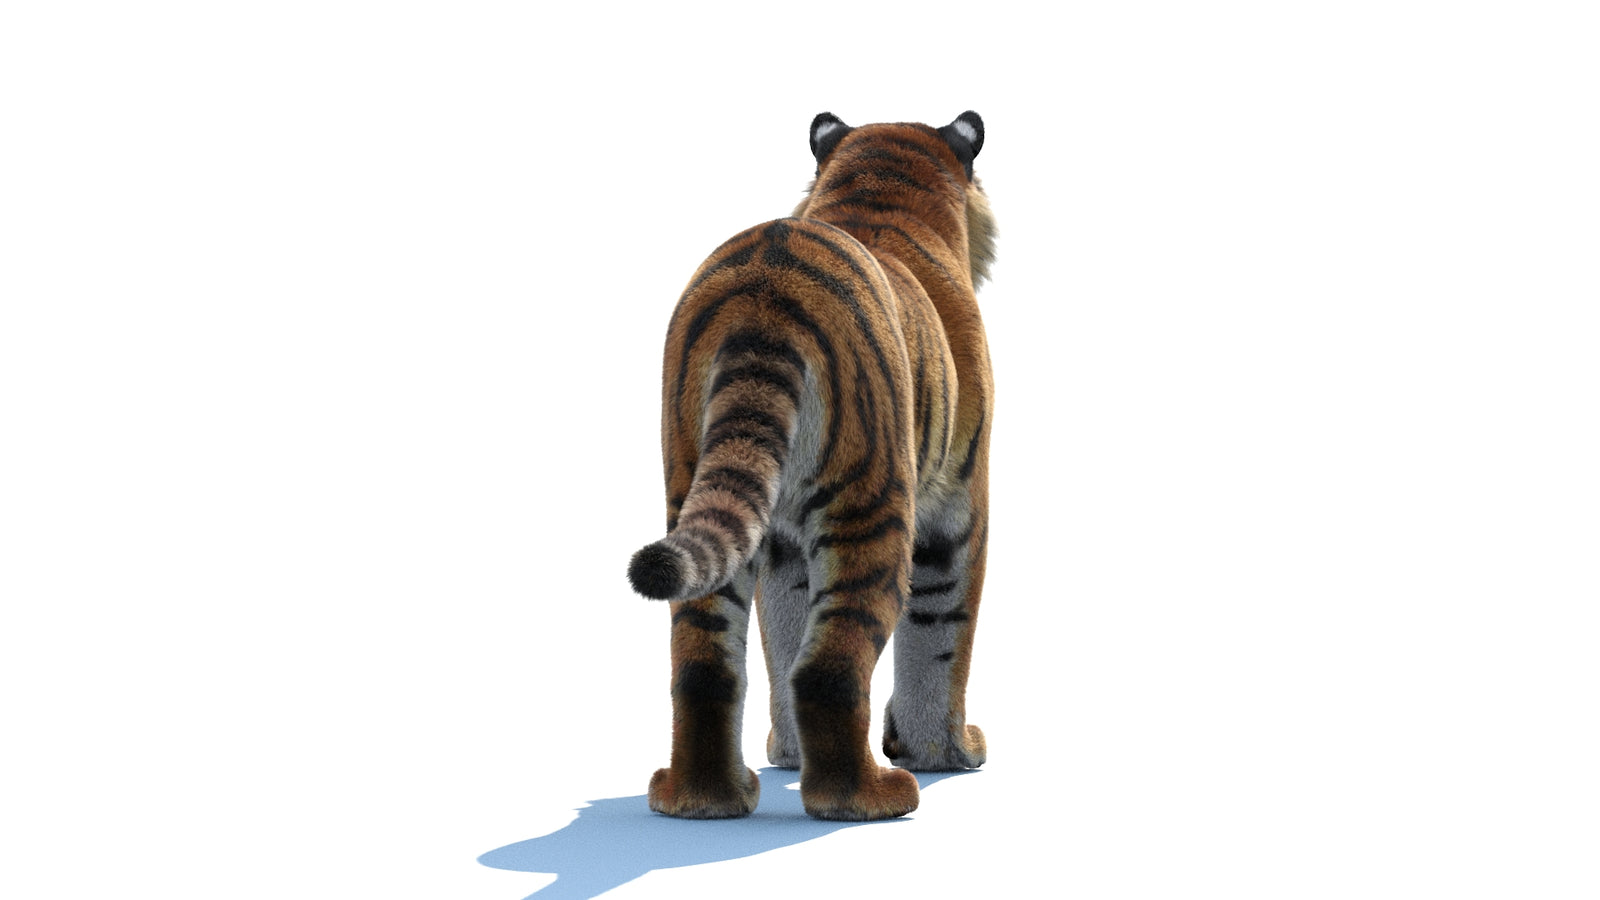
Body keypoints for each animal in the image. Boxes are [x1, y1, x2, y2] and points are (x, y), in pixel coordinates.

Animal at [627, 110, 996, 821]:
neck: (883, 191)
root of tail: (764, 291)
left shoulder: (781, 542)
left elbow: (784, 628)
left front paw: (788, 753)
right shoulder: (957, 507)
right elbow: (941, 636)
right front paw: (947, 752)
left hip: (695, 486)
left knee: (702, 662)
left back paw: (702, 799)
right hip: (872, 505)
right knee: (831, 667)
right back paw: (869, 797)